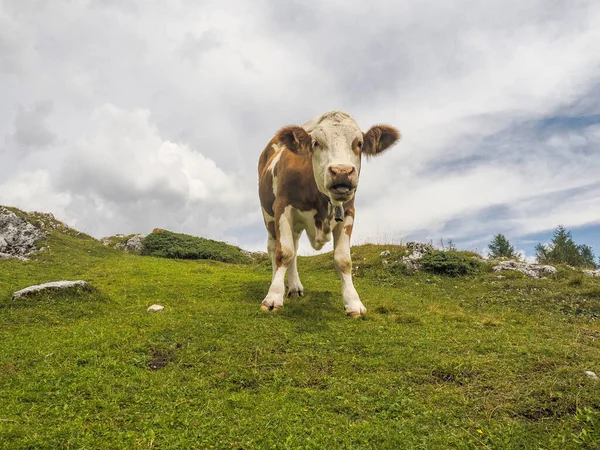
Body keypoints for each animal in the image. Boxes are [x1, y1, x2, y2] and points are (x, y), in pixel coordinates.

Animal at [256, 111, 400, 318]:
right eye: (316, 143)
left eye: (359, 143)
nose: (342, 172)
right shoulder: (283, 208)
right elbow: (284, 253)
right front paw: (273, 297)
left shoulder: (348, 212)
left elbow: (343, 260)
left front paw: (353, 302)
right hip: (268, 216)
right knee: (274, 248)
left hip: (296, 227)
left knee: (295, 248)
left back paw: (294, 287)